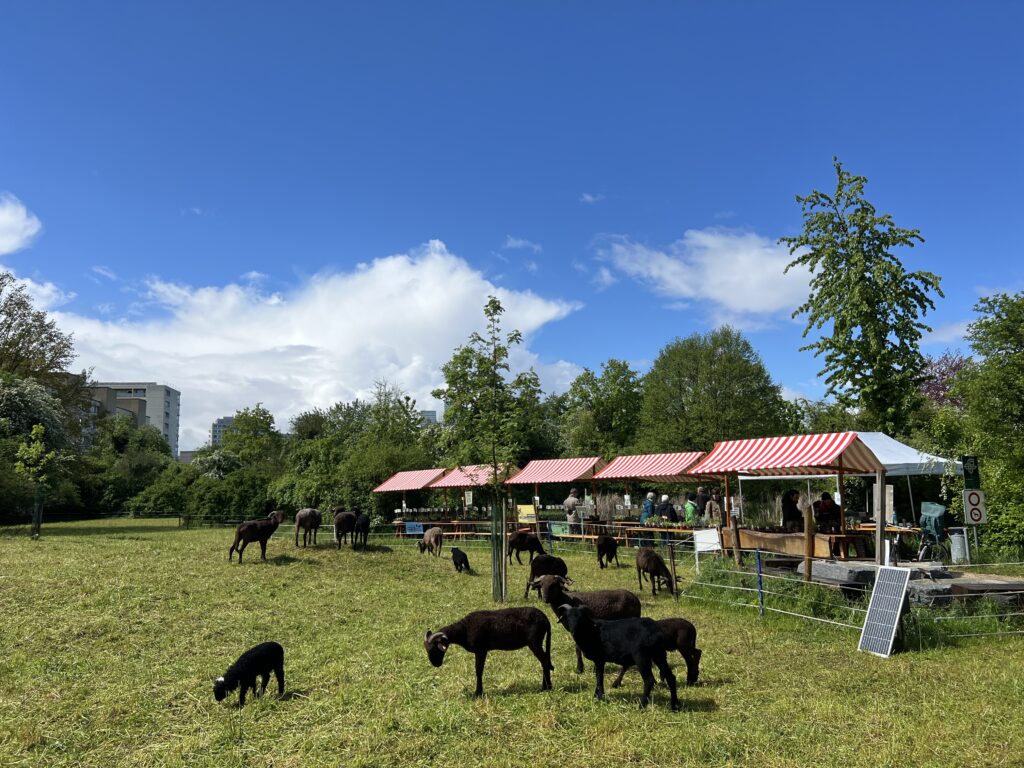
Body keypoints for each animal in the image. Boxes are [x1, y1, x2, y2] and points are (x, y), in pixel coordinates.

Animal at [421, 606, 557, 696]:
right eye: (427, 649)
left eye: (434, 648)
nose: (436, 664)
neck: (464, 630)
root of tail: (545, 619)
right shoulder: (480, 651)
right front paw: (478, 692)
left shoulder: (481, 650)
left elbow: (478, 671)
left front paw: (478, 693)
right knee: (545, 661)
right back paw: (546, 686)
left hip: (535, 641)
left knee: (545, 662)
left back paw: (546, 688)